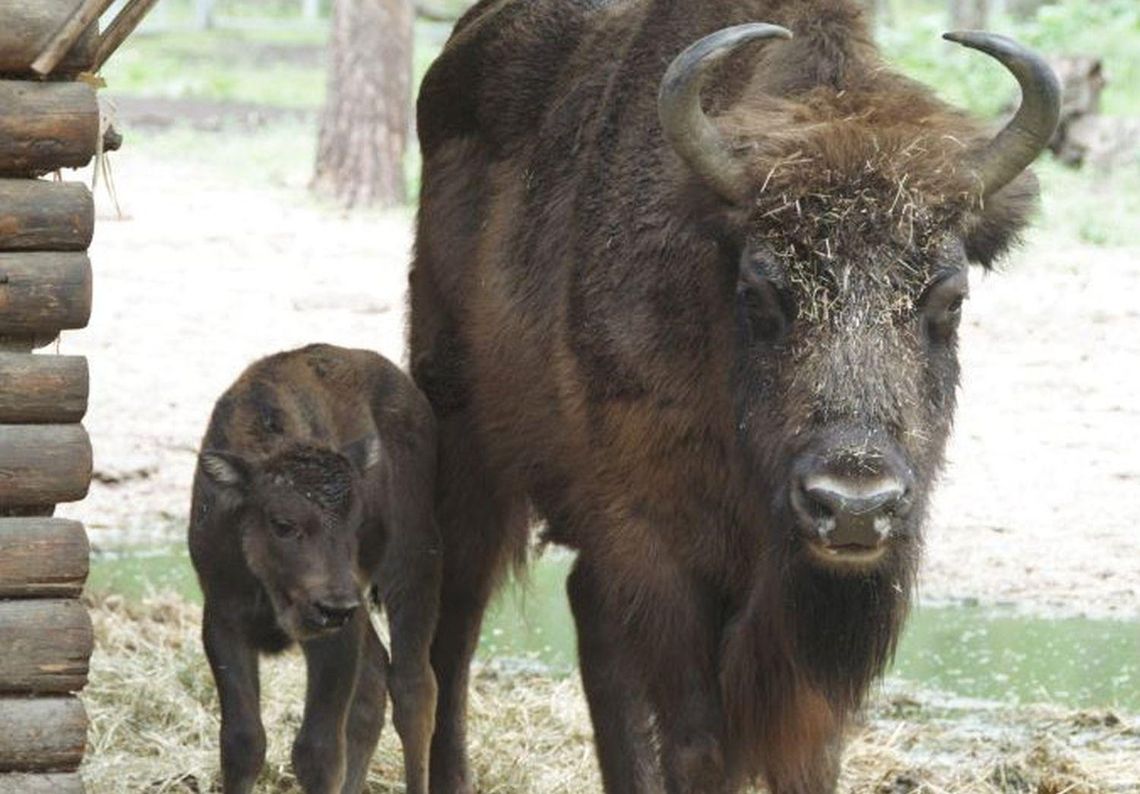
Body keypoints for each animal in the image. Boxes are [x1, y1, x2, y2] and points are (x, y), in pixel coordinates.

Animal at [189, 346, 437, 794]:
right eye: (282, 523)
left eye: (358, 522)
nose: (334, 606)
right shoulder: (223, 621)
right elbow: (242, 742)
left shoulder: (335, 635)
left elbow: (318, 751)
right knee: (374, 683)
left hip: (413, 563)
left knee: (413, 690)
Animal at [410, 3, 1057, 789]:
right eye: (759, 292)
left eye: (951, 299)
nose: (853, 505)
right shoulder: (658, 547)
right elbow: (698, 741)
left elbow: (811, 748)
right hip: (462, 445)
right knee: (454, 631)